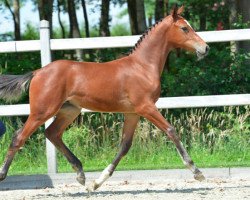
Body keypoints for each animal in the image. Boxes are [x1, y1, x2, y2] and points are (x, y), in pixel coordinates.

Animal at [0, 5, 209, 191]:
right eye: (184, 28)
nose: (205, 48)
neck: (142, 66)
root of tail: (37, 72)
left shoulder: (133, 113)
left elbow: (125, 146)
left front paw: (97, 183)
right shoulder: (146, 107)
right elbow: (171, 130)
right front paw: (196, 171)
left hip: (69, 110)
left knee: (52, 133)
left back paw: (81, 174)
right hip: (42, 111)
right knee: (19, 137)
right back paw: (3, 174)